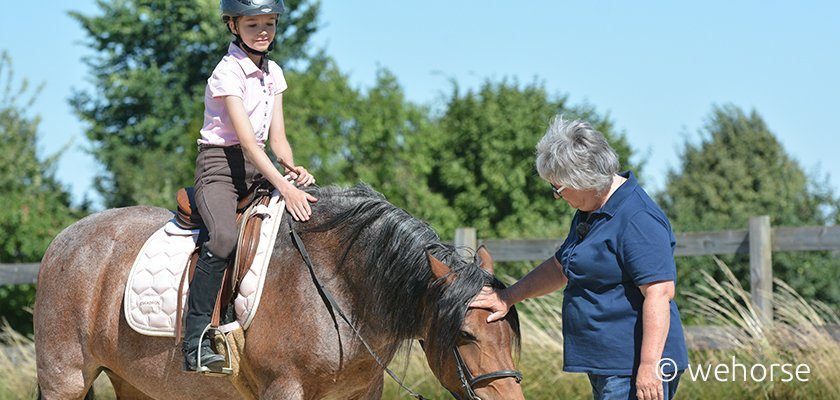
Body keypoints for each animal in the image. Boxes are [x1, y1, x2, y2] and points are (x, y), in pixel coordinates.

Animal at [36, 185, 520, 400]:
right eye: (465, 337)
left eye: (509, 334)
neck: (344, 290)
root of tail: (63, 241)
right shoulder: (284, 389)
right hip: (65, 380)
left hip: (135, 384)